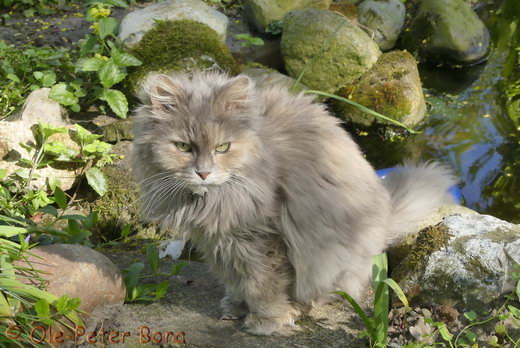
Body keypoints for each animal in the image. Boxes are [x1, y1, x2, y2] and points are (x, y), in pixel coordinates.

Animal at [131, 70, 456, 334]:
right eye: (183, 147)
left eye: (222, 147)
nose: (203, 173)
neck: (212, 200)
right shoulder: (218, 241)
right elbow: (235, 278)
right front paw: (236, 306)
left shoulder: (262, 241)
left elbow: (262, 285)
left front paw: (267, 321)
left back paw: (298, 308)